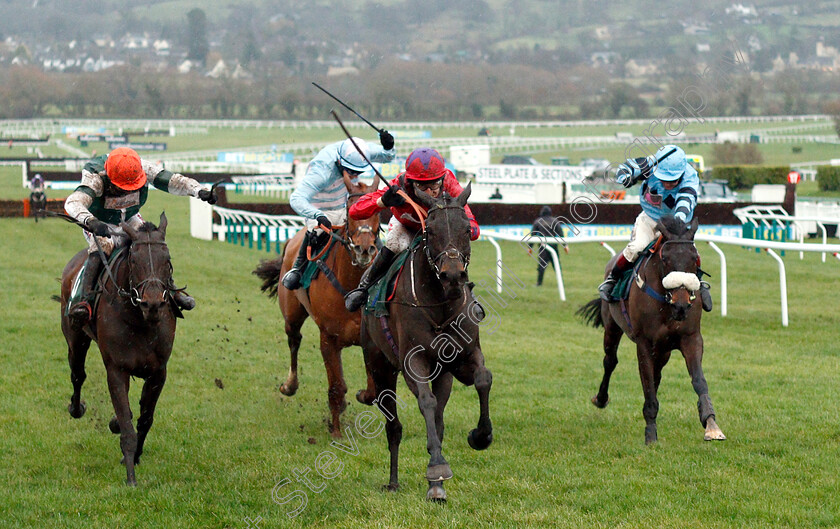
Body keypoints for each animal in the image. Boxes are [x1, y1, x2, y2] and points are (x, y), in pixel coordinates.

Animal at [59, 212, 179, 484]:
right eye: (134, 260)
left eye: (167, 260)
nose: (153, 303)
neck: (140, 320)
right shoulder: (116, 369)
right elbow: (126, 424)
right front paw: (131, 477)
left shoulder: (158, 372)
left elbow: (145, 419)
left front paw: (134, 458)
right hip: (75, 337)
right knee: (77, 375)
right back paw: (76, 408)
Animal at [251, 177, 378, 438]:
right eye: (350, 211)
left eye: (380, 211)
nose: (364, 249)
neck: (352, 287)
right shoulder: (328, 338)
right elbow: (336, 387)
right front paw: (336, 433)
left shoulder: (369, 339)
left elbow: (371, 391)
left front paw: (359, 396)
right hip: (291, 313)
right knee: (294, 340)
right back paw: (289, 385)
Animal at [360, 184, 492, 502]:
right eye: (429, 230)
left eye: (467, 228)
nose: (453, 275)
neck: (441, 306)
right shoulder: (413, 361)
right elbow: (426, 402)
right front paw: (437, 467)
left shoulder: (463, 357)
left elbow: (483, 378)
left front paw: (480, 436)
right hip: (379, 365)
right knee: (394, 426)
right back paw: (396, 481)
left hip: (442, 373)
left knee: (440, 419)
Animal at [580, 216, 724, 446]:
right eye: (665, 258)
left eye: (695, 259)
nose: (681, 305)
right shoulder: (644, 343)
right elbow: (647, 386)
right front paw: (650, 435)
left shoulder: (691, 338)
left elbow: (699, 381)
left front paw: (711, 424)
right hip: (612, 326)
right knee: (610, 361)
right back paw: (601, 399)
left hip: (663, 350)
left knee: (656, 373)